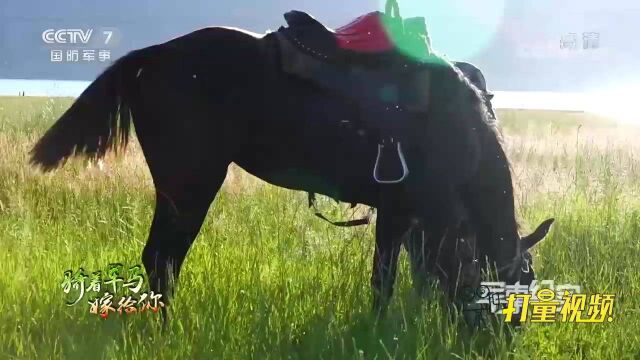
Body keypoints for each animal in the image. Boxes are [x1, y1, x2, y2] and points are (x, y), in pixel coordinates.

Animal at [28, 17, 552, 318]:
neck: (458, 120)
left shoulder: (411, 216)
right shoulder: (404, 208)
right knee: (163, 260)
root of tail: (149, 56)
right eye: (514, 290)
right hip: (190, 182)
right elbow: (386, 281)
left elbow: (413, 274)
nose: (501, 343)